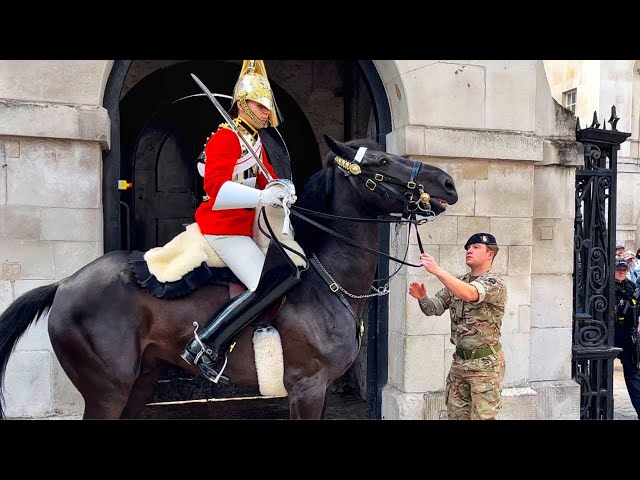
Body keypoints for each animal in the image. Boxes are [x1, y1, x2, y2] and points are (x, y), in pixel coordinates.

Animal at [0, 135, 458, 420]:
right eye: (380, 162)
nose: (448, 183)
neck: (329, 280)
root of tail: (64, 284)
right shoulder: (307, 387)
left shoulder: (323, 388)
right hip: (107, 391)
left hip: (139, 382)